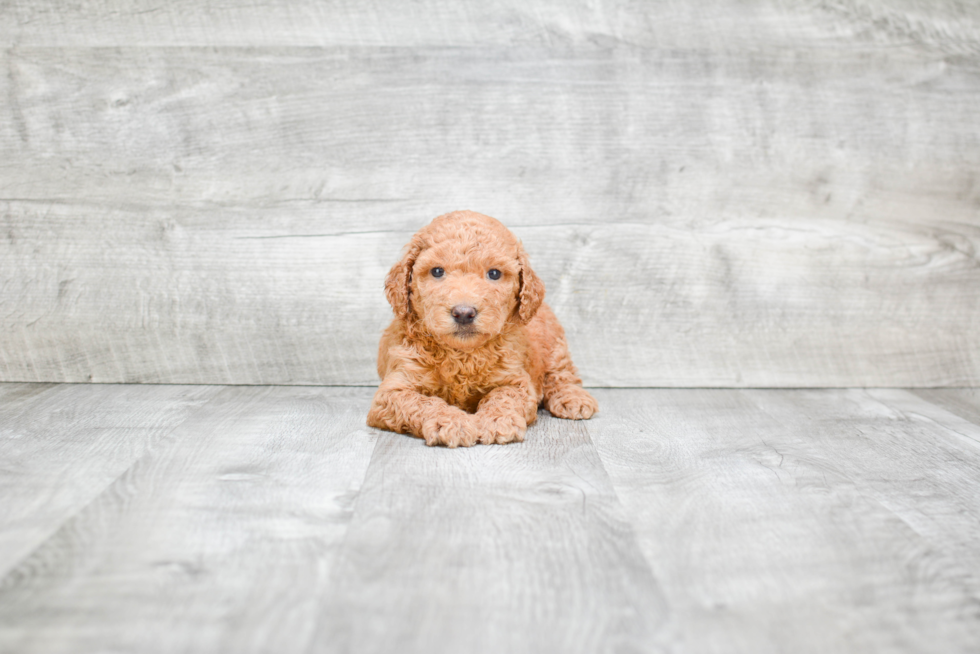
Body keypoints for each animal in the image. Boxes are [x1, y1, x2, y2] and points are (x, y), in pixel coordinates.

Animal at [368, 210, 596, 446]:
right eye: (437, 271)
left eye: (494, 274)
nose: (464, 313)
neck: (462, 354)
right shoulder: (393, 390)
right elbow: (422, 402)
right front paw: (452, 422)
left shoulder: (516, 381)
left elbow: (503, 396)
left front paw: (498, 421)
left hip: (555, 346)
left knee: (562, 375)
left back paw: (573, 398)